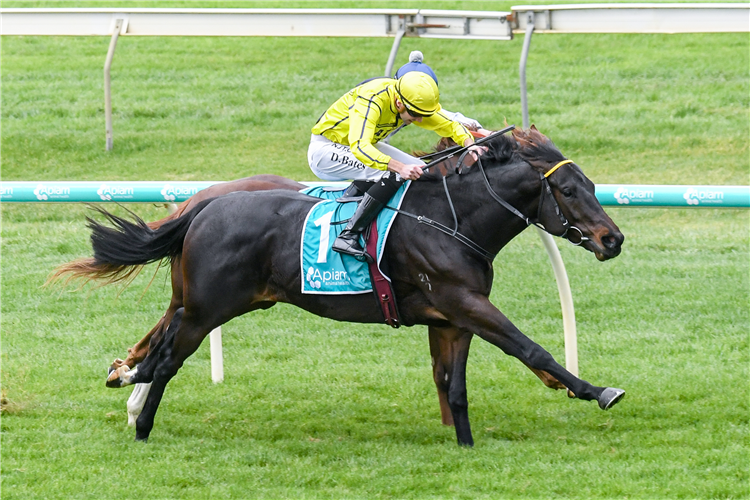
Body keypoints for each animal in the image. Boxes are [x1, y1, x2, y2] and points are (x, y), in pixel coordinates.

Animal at [52, 126, 625, 445]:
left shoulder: (453, 318)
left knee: (159, 348)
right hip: (205, 308)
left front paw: (464, 445)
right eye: (568, 189)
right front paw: (597, 390)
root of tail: (203, 207)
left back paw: (128, 387)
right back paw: (141, 425)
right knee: (167, 359)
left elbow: (453, 385)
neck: (451, 219)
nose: (613, 239)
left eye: (593, 185)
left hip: (201, 303)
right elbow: (531, 349)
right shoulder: (465, 302)